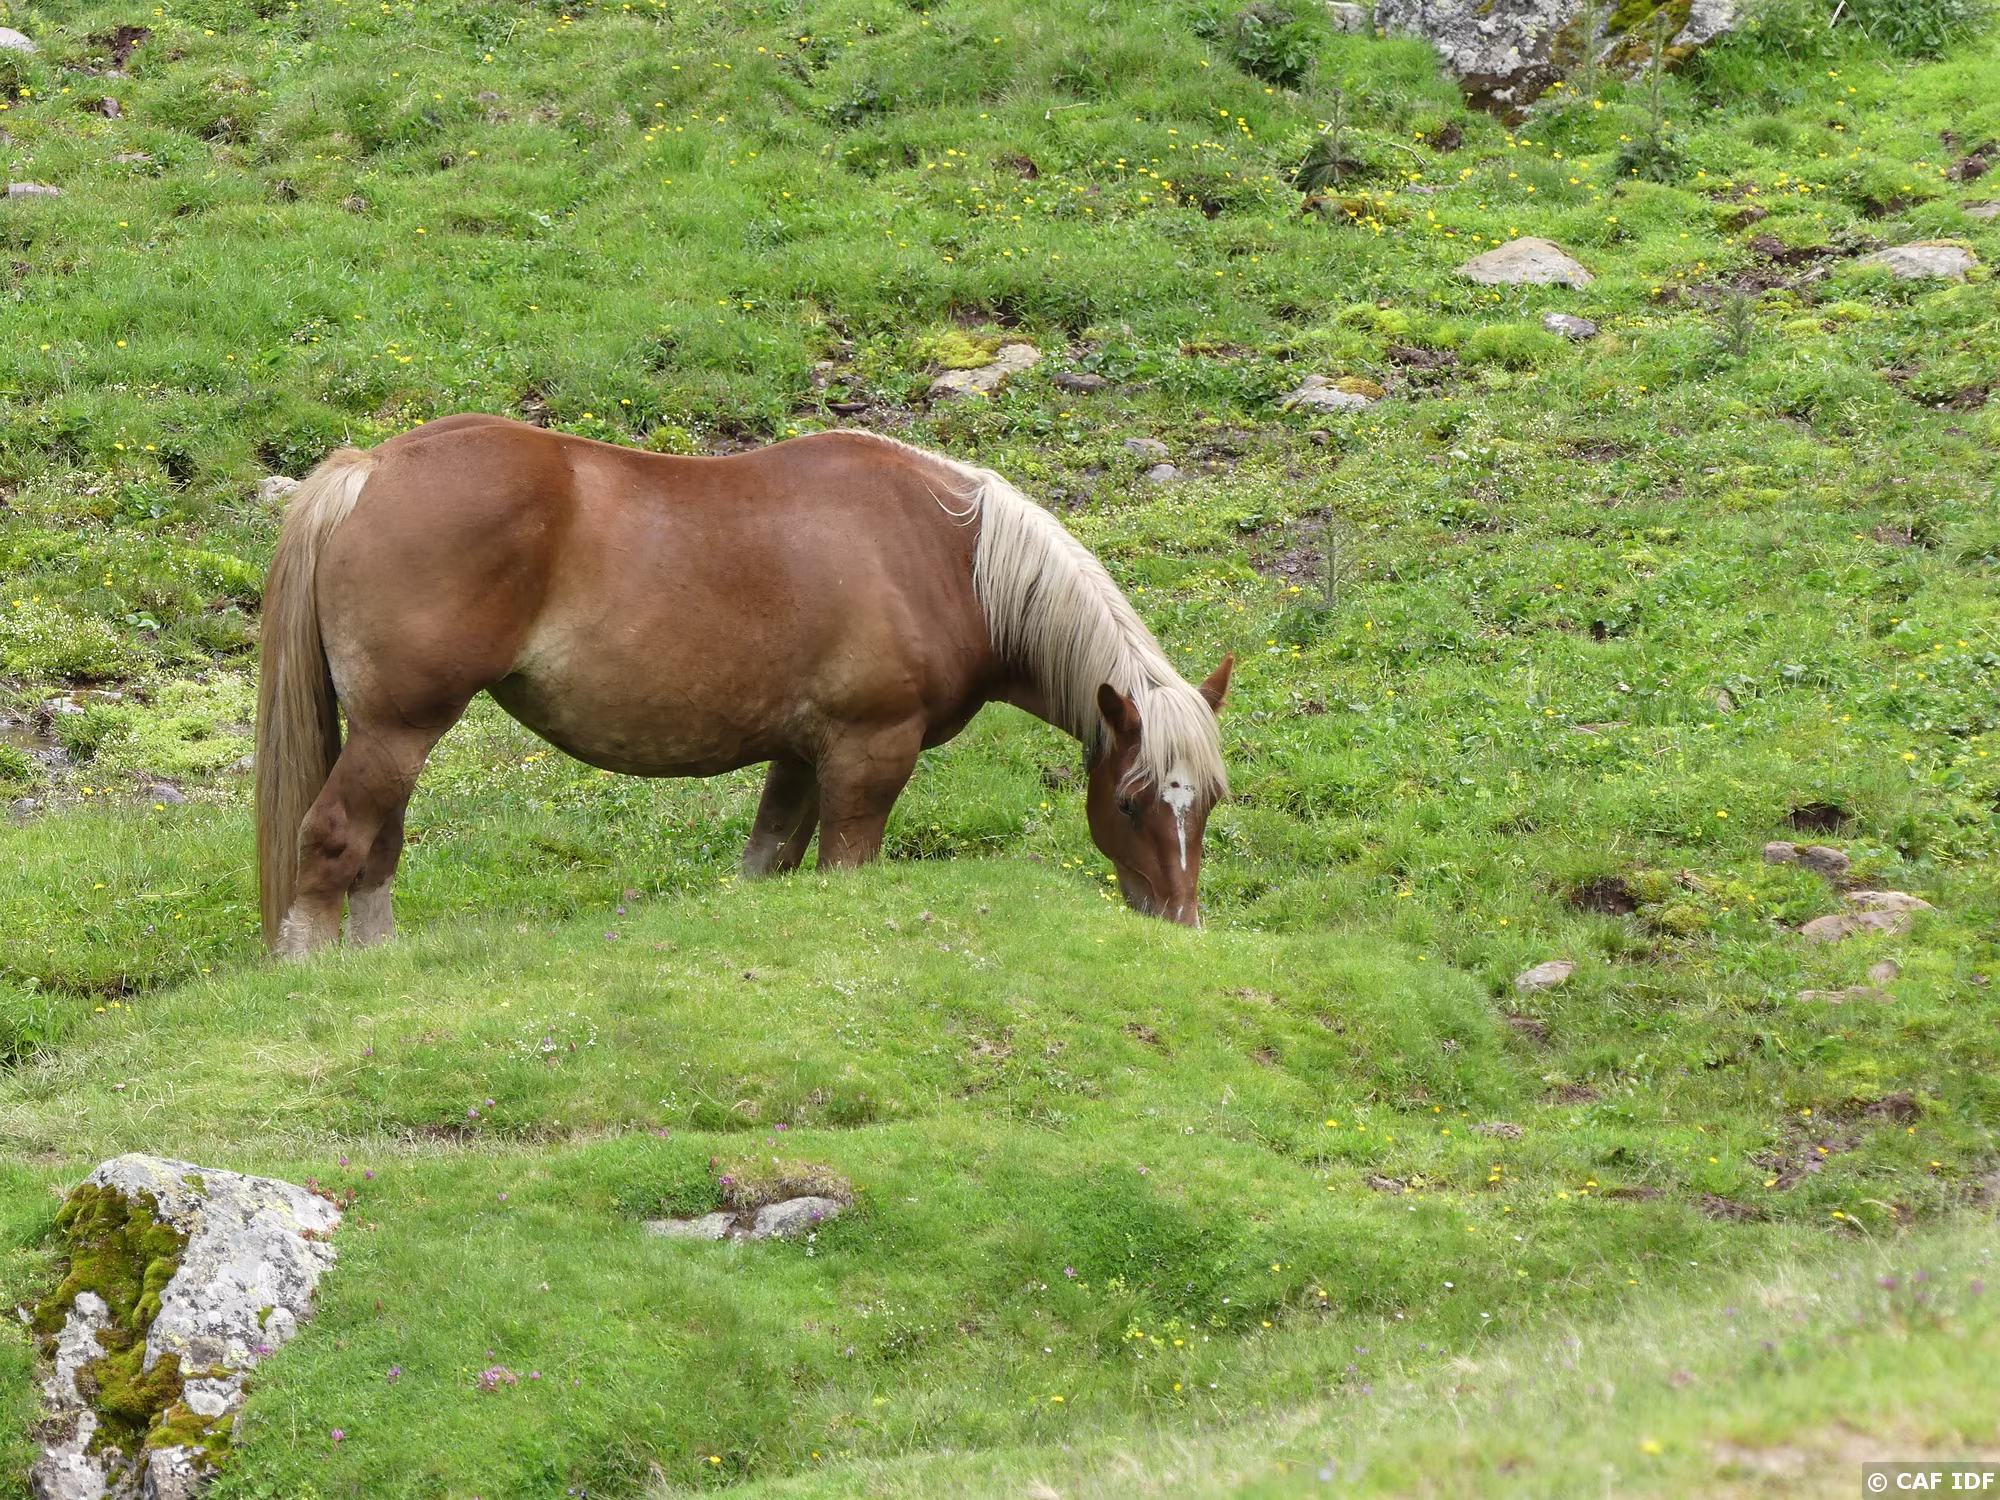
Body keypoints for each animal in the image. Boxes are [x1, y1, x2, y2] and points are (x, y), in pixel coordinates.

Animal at [255, 415, 1232, 955]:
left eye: (1210, 804)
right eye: (1134, 802)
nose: (1181, 924)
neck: (951, 556)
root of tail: (371, 469)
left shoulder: (800, 758)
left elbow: (765, 865)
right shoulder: (869, 755)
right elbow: (845, 866)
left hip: (396, 734)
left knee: (377, 849)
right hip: (401, 727)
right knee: (335, 837)